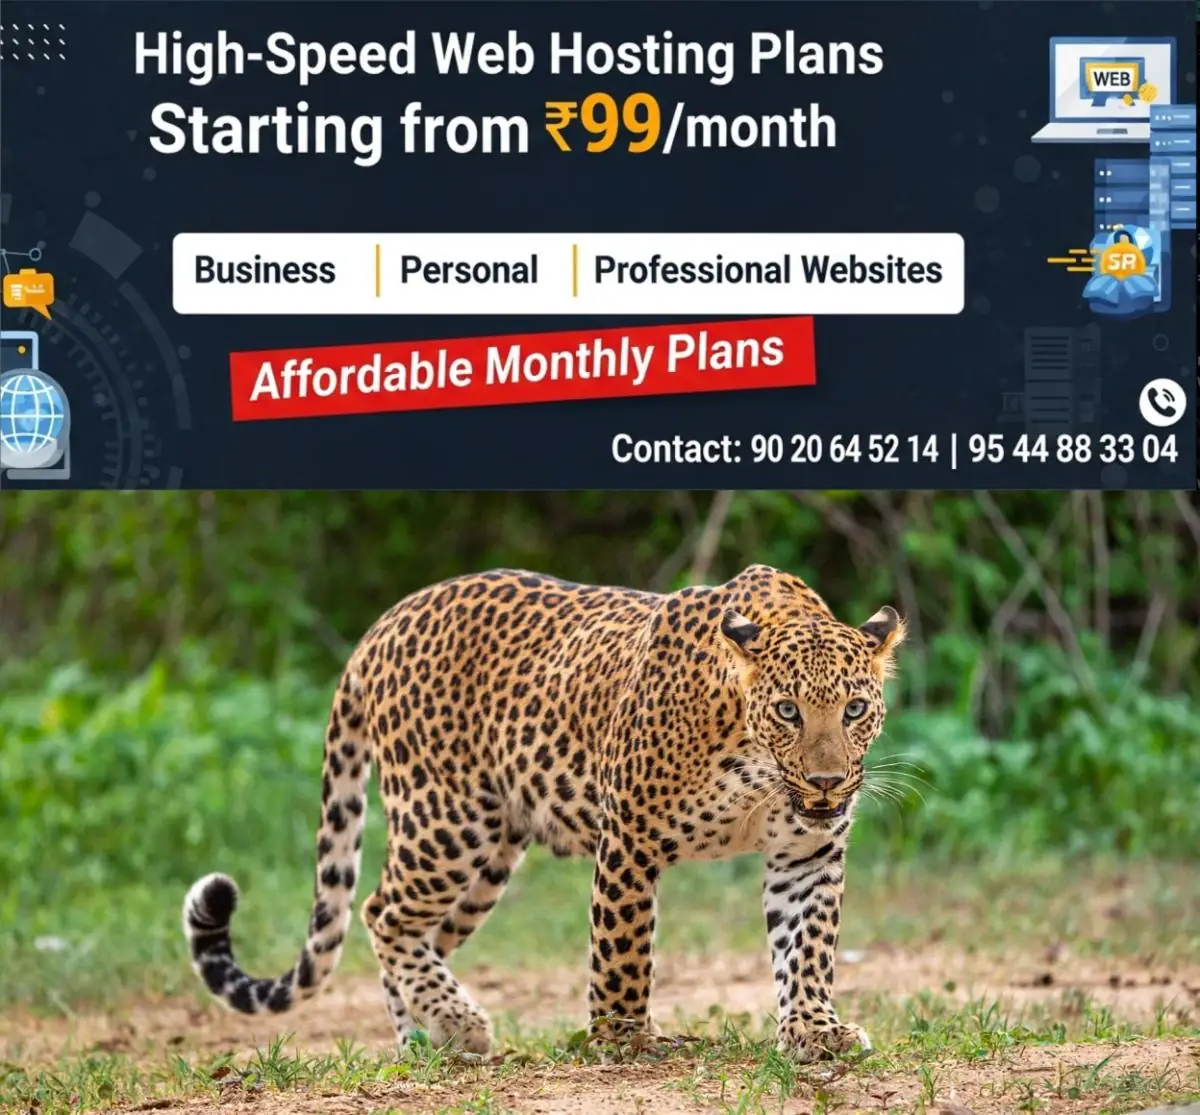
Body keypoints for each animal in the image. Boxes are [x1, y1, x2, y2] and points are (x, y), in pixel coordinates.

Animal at [182, 562, 904, 1062]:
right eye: (787, 710)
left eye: (854, 709)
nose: (826, 781)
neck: (757, 768)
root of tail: (382, 625)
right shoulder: (630, 836)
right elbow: (623, 951)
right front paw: (624, 1040)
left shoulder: (808, 852)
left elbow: (808, 947)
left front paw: (815, 1030)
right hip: (445, 821)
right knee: (382, 911)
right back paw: (456, 1024)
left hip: (490, 857)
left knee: (416, 933)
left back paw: (425, 1037)